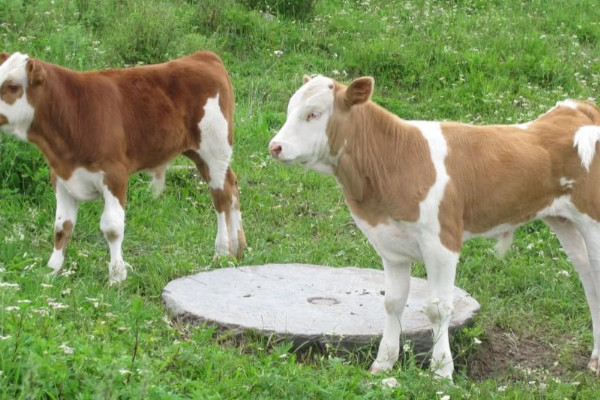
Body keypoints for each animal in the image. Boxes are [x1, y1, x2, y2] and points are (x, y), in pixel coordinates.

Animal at [0, 51, 246, 284]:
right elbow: (62, 227)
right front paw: (52, 270)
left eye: (13, 87)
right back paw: (238, 247)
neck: (73, 111)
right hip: (200, 154)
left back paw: (222, 251)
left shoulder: (114, 174)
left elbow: (112, 227)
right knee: (232, 184)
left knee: (221, 197)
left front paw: (117, 276)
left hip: (214, 148)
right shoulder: (61, 177)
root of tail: (203, 56)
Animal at [270, 74, 600, 378]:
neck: (394, 158)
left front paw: (441, 370)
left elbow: (438, 308)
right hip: (563, 220)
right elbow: (392, 302)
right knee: (588, 279)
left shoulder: (442, 243)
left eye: (314, 114)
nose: (275, 146)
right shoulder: (391, 246)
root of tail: (574, 108)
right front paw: (384, 362)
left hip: (592, 221)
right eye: (290, 109)